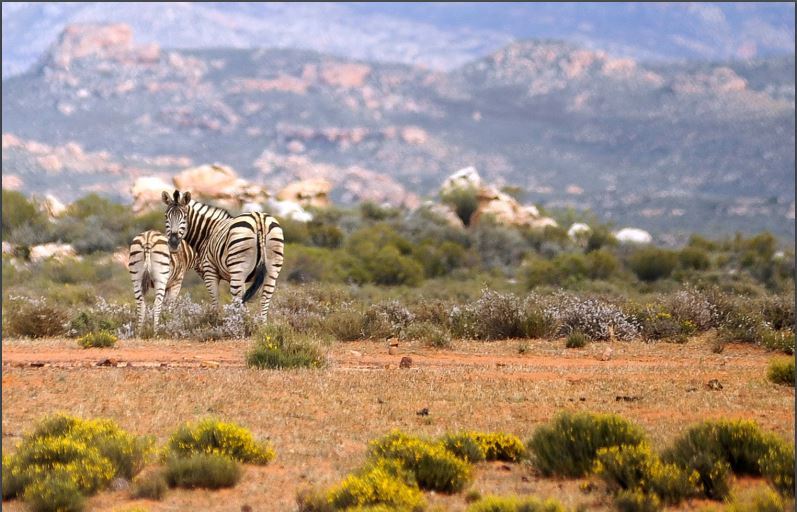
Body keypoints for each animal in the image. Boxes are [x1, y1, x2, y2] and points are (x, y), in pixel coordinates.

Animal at [160, 190, 284, 322]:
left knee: (238, 299)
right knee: (265, 297)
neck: (208, 233)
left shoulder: (210, 271)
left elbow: (215, 301)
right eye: (166, 216)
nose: (173, 243)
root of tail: (259, 219)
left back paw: (238, 324)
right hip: (272, 269)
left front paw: (214, 321)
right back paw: (261, 324)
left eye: (184, 217)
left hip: (237, 269)